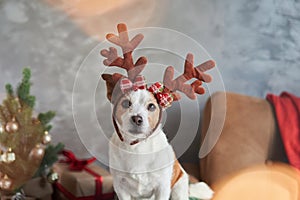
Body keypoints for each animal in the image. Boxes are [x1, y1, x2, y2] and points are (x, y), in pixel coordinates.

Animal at [102, 23, 214, 200]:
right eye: (126, 103)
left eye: (152, 107)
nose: (137, 119)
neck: (137, 147)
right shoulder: (121, 188)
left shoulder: (162, 187)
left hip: (178, 188)